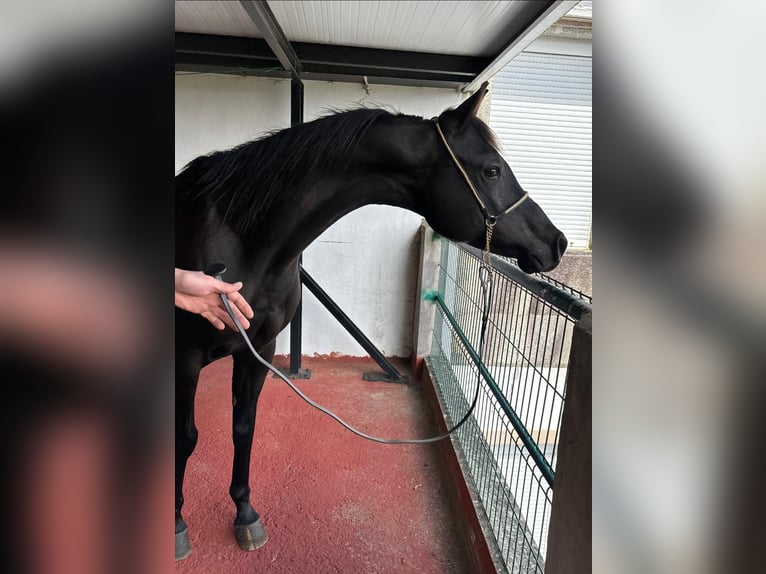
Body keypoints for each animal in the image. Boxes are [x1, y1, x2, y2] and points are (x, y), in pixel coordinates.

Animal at [174, 82, 567, 559]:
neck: (244, 239)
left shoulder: (259, 349)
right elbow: (186, 438)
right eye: (492, 170)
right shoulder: (185, 357)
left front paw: (246, 514)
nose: (556, 243)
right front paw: (175, 524)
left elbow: (243, 428)